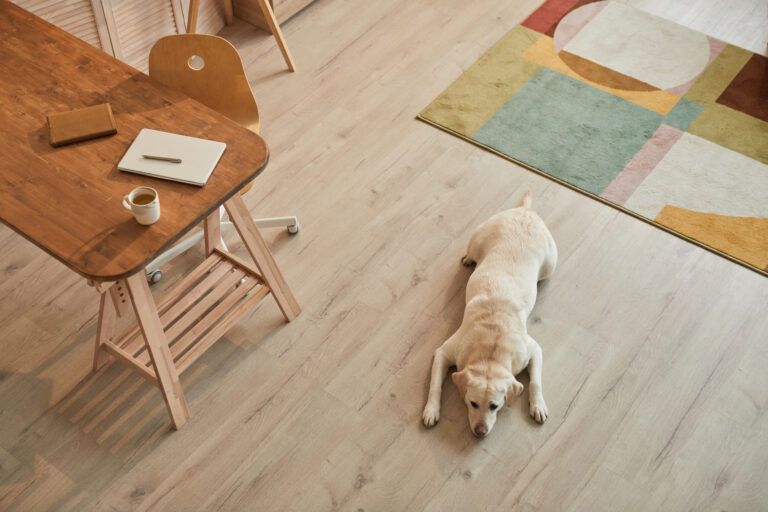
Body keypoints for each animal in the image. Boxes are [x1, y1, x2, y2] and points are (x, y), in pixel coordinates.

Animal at [424, 190, 556, 438]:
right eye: (473, 403)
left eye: (495, 406)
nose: (480, 431)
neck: (490, 351)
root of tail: (526, 211)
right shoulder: (444, 352)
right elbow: (435, 385)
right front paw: (431, 411)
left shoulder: (533, 349)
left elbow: (536, 382)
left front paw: (538, 406)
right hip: (477, 238)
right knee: (471, 251)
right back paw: (468, 258)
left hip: (551, 264)